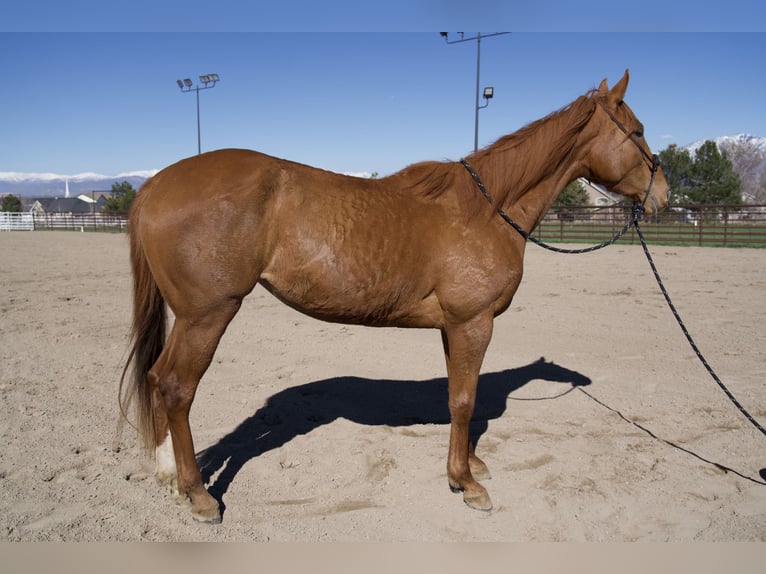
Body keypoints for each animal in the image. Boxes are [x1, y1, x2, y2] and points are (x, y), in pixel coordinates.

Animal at [121, 70, 672, 524]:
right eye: (638, 131)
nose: (662, 195)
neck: (484, 210)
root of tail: (155, 185)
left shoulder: (455, 327)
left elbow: (458, 398)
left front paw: (469, 465)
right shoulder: (474, 322)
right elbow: (465, 400)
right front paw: (465, 484)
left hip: (192, 318)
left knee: (158, 379)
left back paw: (170, 475)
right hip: (208, 315)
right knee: (176, 386)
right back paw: (199, 496)